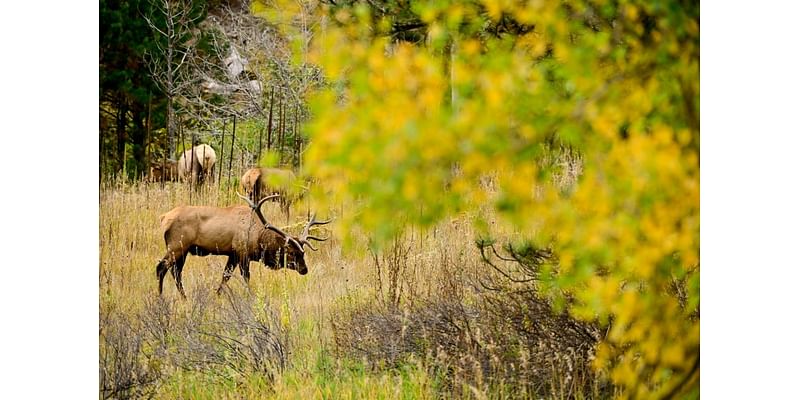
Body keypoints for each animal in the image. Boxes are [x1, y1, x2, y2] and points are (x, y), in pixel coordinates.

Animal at [156, 192, 332, 298]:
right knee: (161, 268)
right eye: (290, 252)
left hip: (183, 250)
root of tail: (163, 218)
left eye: (303, 252)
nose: (304, 269)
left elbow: (225, 276)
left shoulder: (232, 254)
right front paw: (251, 296)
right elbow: (246, 278)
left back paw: (184, 297)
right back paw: (160, 296)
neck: (258, 237)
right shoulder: (242, 253)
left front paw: (217, 295)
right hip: (177, 246)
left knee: (176, 272)